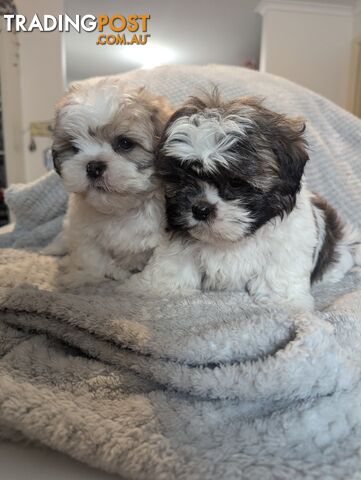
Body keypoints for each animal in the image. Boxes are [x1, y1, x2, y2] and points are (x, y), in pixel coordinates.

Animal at [48, 77, 172, 286]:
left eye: (125, 143)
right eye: (74, 147)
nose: (93, 167)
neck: (119, 211)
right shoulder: (83, 232)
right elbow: (92, 257)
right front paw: (86, 275)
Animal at [121, 91, 360, 312]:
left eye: (236, 182)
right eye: (181, 178)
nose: (200, 209)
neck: (231, 240)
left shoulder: (287, 248)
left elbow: (278, 274)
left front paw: (283, 303)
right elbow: (172, 264)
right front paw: (152, 289)